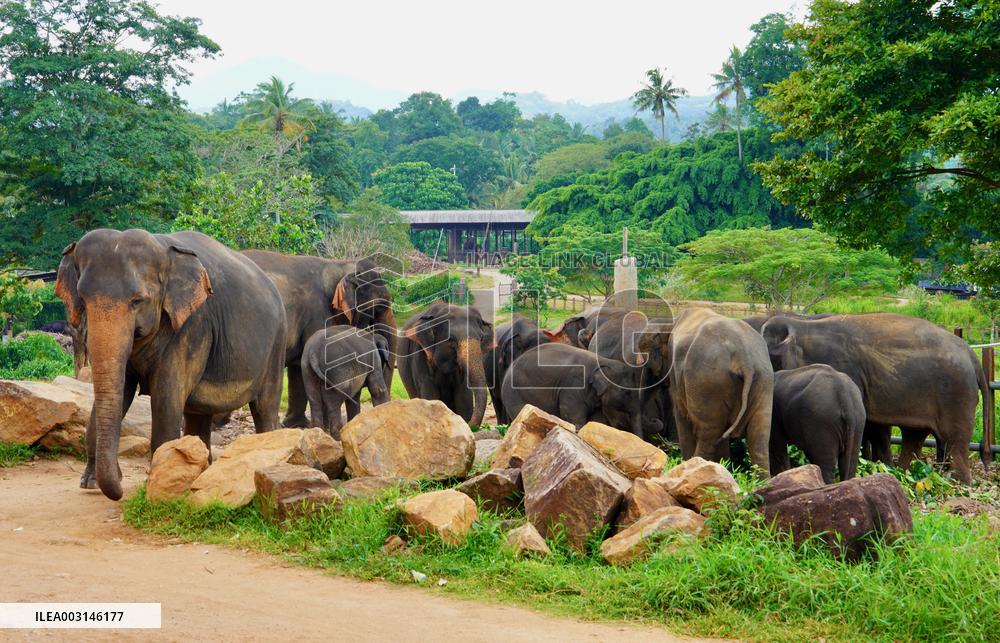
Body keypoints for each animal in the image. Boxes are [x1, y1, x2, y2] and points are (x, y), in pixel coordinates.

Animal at [55, 229, 287, 500]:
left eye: (137, 301)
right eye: (82, 299)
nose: (121, 489)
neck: (162, 248)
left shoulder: (192, 326)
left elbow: (166, 397)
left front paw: (157, 487)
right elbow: (121, 391)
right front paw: (90, 484)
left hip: (276, 346)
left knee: (265, 408)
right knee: (198, 415)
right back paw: (199, 475)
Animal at [501, 343, 646, 435]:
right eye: (627, 392)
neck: (603, 361)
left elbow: (596, 419)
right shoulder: (573, 385)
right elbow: (573, 416)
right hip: (514, 393)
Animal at [669, 308, 773, 475]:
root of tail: (744, 358)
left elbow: (681, 415)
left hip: (707, 382)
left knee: (709, 434)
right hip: (764, 380)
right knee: (759, 438)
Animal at [761, 313, 988, 483]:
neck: (801, 326)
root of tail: (972, 355)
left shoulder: (844, 368)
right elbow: (874, 426)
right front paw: (881, 466)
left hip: (956, 393)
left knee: (954, 439)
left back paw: (957, 483)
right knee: (915, 435)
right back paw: (903, 474)